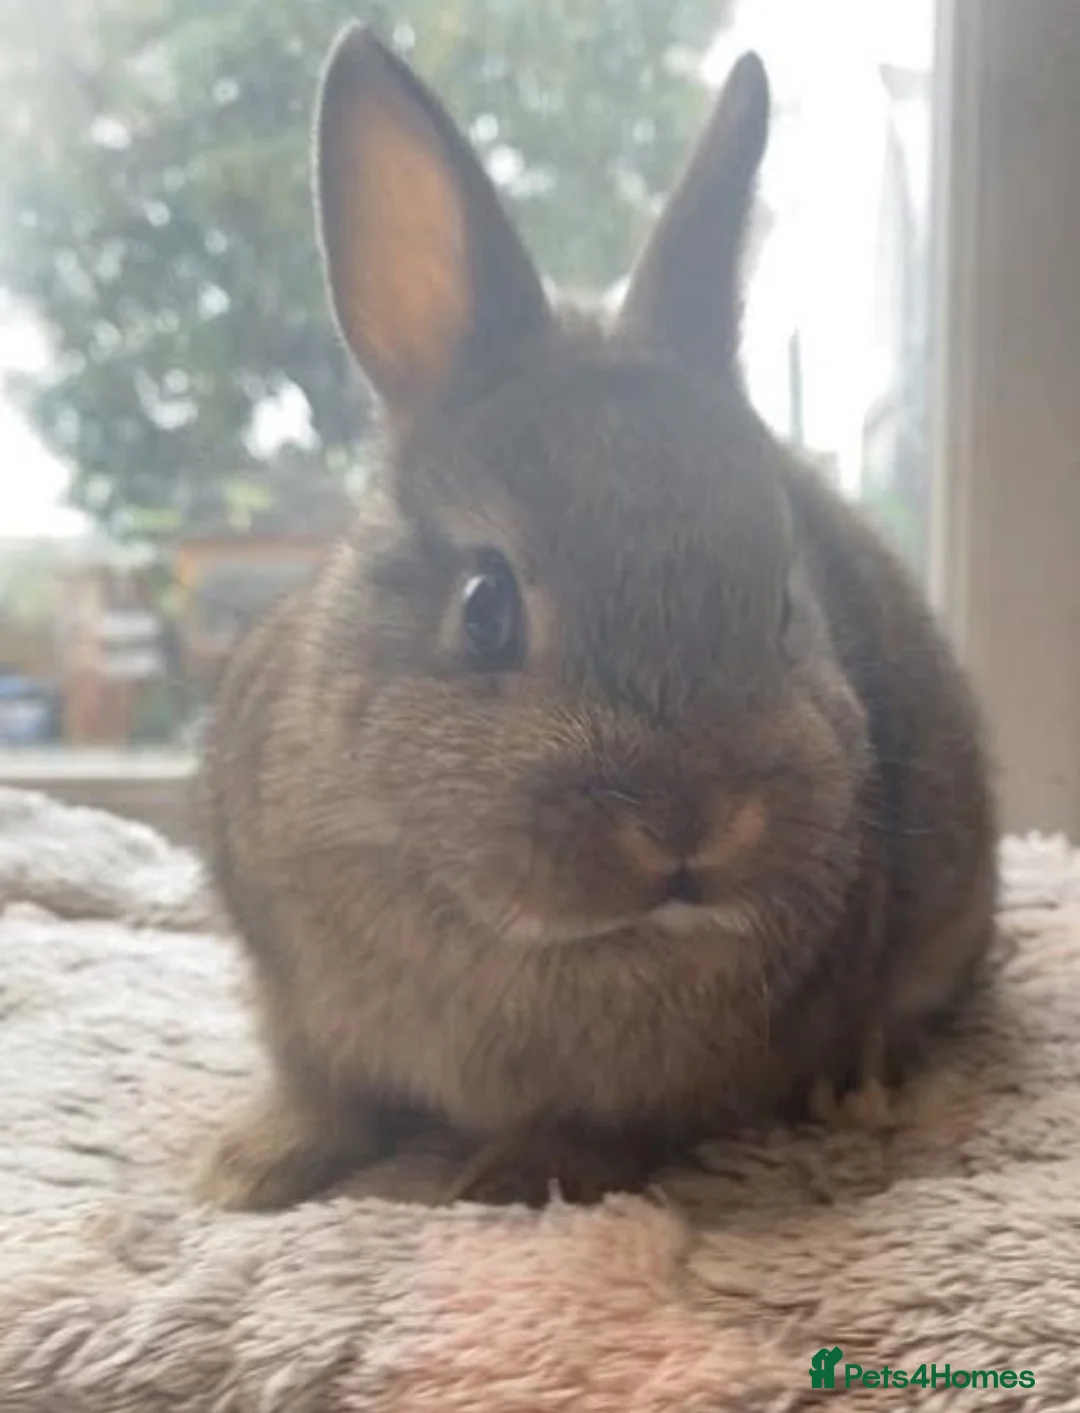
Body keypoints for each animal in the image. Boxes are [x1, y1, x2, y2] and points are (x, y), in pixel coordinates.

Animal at [195, 24, 997, 1210]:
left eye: (781, 604)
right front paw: (246, 1171)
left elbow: (612, 1127)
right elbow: (321, 1093)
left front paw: (521, 1175)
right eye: (485, 607)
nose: (694, 825)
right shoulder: (297, 1004)